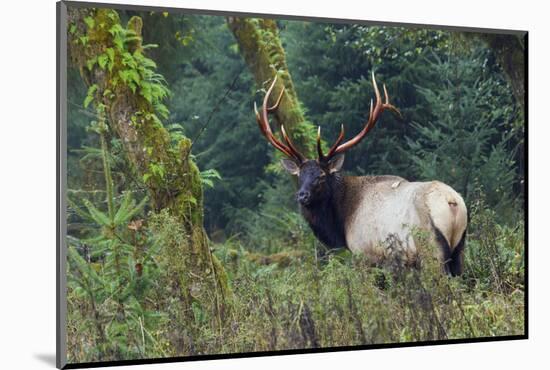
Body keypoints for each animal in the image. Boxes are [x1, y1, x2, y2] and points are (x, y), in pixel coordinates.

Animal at [256, 73, 468, 274]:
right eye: (299, 175)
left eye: (321, 176)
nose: (302, 195)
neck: (342, 223)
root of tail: (452, 202)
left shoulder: (366, 254)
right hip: (459, 248)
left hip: (431, 248)